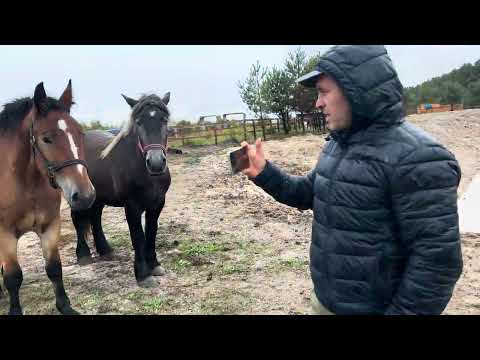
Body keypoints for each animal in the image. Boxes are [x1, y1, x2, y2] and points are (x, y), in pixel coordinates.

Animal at [0, 81, 96, 316]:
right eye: (46, 138)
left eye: (80, 134)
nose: (85, 196)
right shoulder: (5, 234)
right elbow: (13, 277)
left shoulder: (50, 226)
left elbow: (54, 268)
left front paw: (65, 306)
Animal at [70, 92, 171, 286]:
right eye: (138, 122)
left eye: (164, 120)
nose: (155, 163)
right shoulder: (132, 206)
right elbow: (138, 237)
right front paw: (143, 275)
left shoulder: (157, 203)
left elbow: (151, 232)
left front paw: (154, 265)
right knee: (77, 220)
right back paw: (84, 255)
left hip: (98, 197)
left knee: (95, 217)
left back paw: (105, 251)